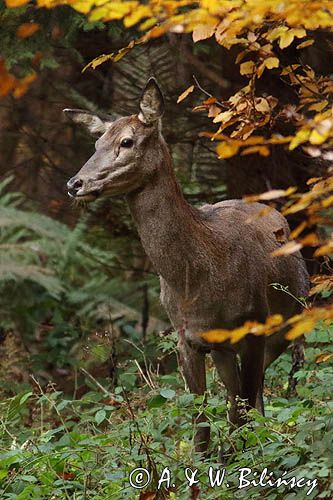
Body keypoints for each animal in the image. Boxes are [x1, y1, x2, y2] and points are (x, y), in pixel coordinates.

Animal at [63, 77, 308, 454]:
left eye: (126, 141)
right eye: (96, 143)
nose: (75, 184)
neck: (200, 277)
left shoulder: (254, 326)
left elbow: (243, 408)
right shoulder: (186, 337)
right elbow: (201, 422)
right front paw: (207, 459)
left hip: (289, 321)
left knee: (254, 396)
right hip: (225, 347)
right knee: (238, 397)